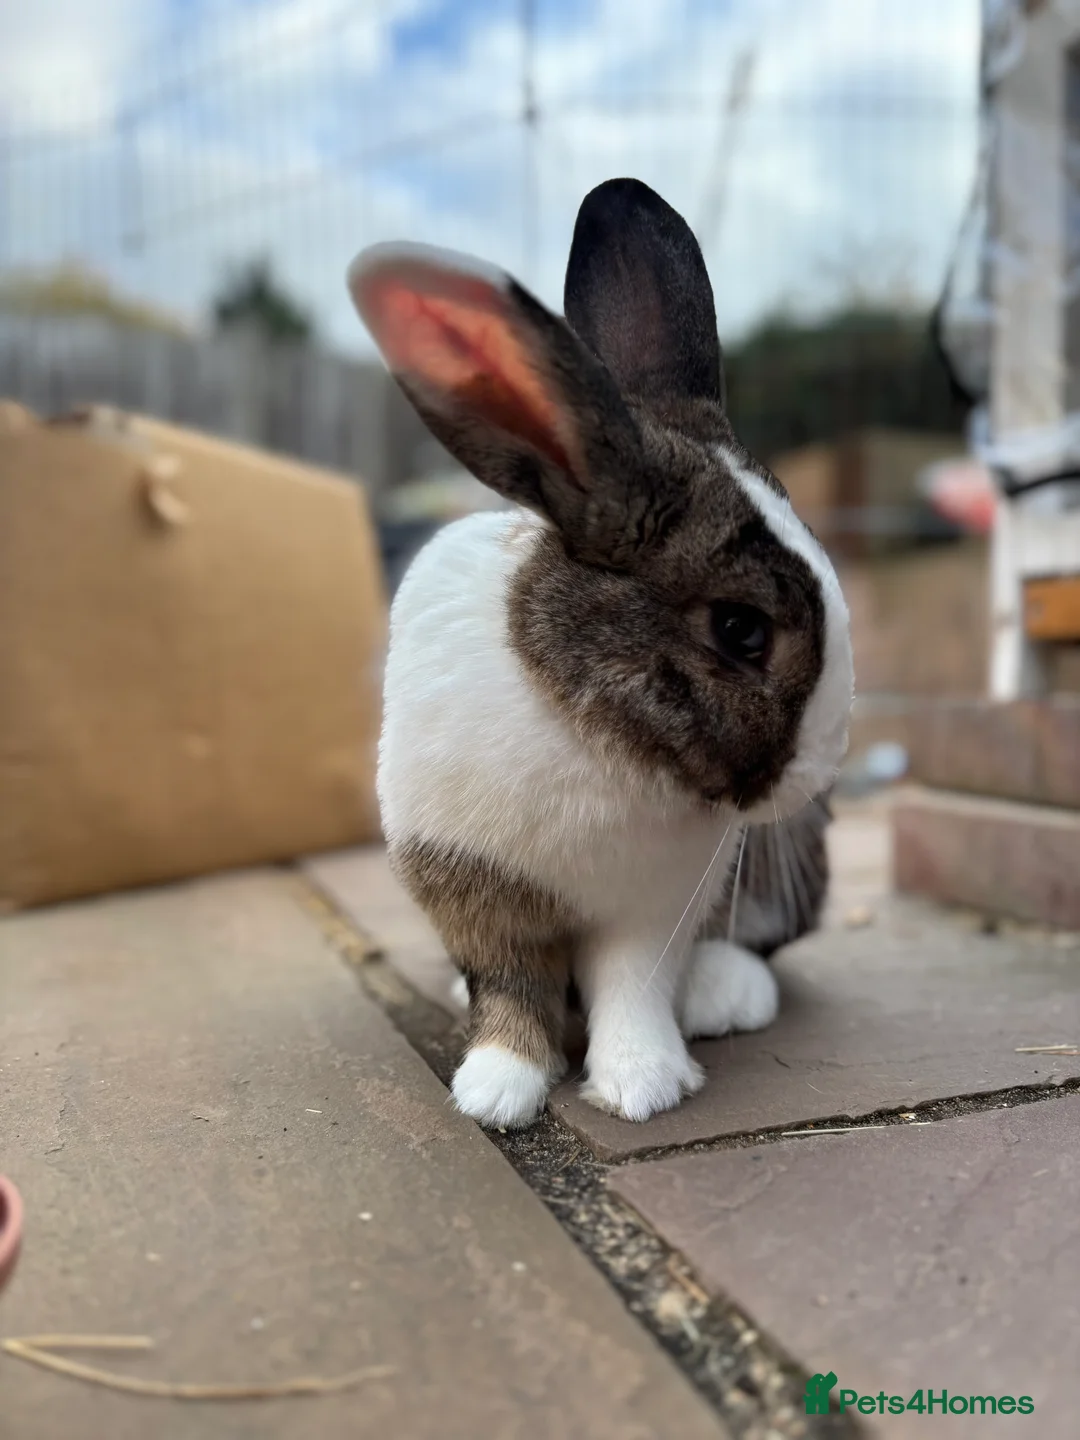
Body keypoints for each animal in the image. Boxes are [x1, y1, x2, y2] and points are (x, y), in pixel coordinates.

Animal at [348, 177, 853, 1128]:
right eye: (741, 629)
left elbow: (633, 988)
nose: (821, 773)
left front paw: (643, 1087)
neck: (597, 735)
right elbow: (507, 985)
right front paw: (496, 1090)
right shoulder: (469, 882)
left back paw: (725, 997)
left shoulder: (655, 909)